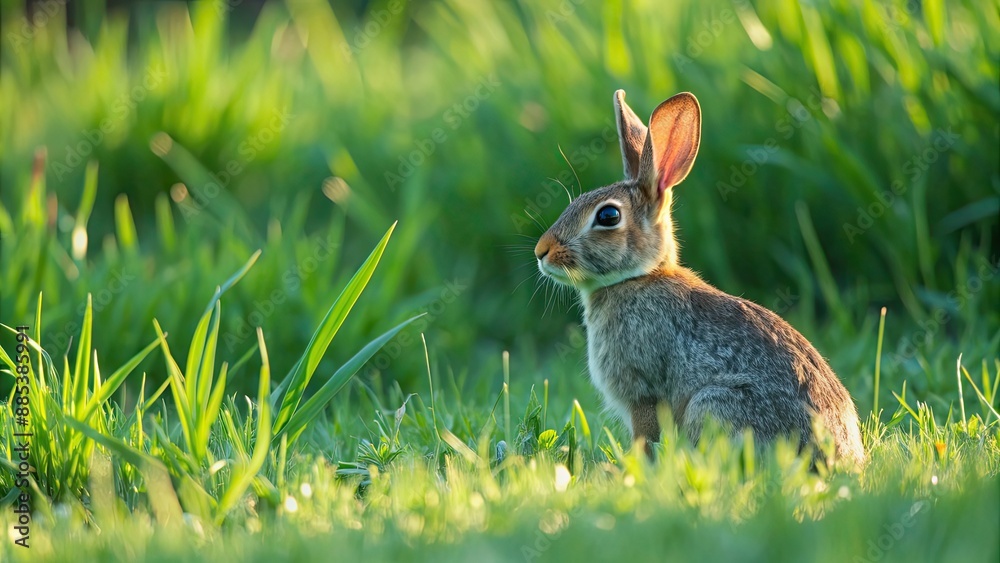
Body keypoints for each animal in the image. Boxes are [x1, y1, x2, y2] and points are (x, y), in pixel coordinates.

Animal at [536, 89, 864, 468]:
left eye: (608, 216)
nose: (541, 251)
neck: (637, 278)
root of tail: (837, 459)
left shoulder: (643, 394)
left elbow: (645, 438)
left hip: (712, 405)